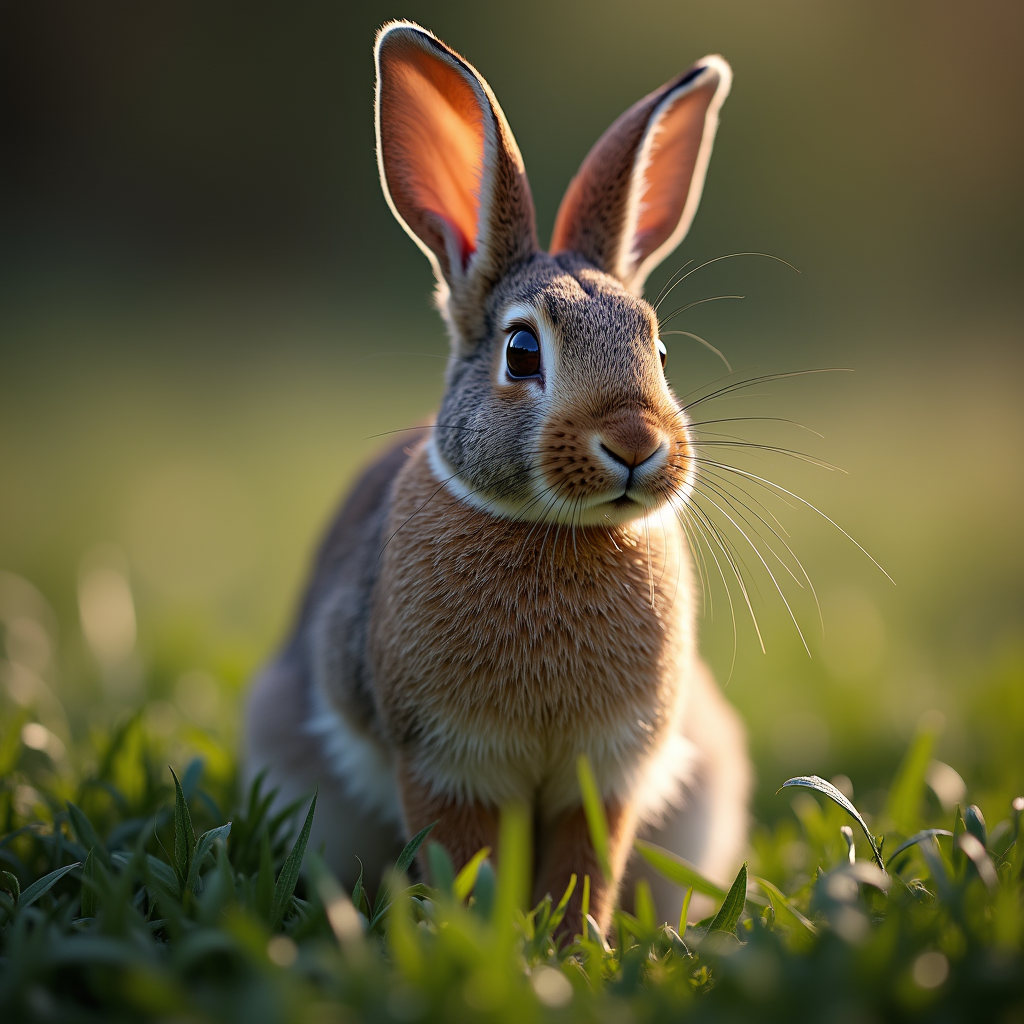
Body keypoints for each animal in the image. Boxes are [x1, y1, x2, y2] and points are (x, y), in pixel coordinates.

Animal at [244, 19, 752, 936]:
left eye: (658, 351)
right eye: (522, 352)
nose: (635, 442)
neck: (560, 531)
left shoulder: (608, 769)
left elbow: (587, 861)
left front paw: (571, 941)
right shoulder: (447, 762)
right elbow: (465, 851)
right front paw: (482, 934)